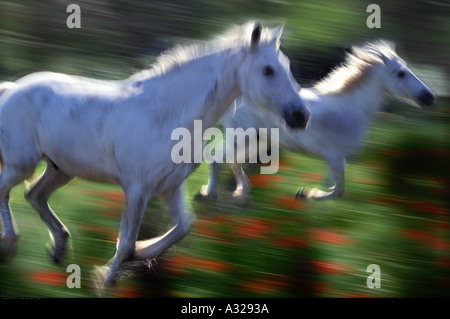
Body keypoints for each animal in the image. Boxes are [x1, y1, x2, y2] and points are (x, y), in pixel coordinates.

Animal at [0, 21, 310, 288]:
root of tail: (12, 88)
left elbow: (183, 227)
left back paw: (58, 248)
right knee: (7, 191)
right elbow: (127, 241)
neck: (169, 115)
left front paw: (139, 254)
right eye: (268, 70)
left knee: (34, 195)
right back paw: (11, 244)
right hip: (21, 163)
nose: (302, 115)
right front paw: (105, 280)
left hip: (61, 169)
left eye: (287, 66)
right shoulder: (137, 188)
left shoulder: (170, 187)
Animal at [200, 41, 432, 201]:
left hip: (257, 141)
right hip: (241, 136)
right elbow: (338, 190)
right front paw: (307, 193)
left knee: (233, 161)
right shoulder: (336, 156)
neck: (350, 108)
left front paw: (308, 192)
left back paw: (241, 191)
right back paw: (209, 193)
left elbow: (334, 185)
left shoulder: (334, 159)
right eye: (401, 73)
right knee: (216, 157)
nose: (428, 97)